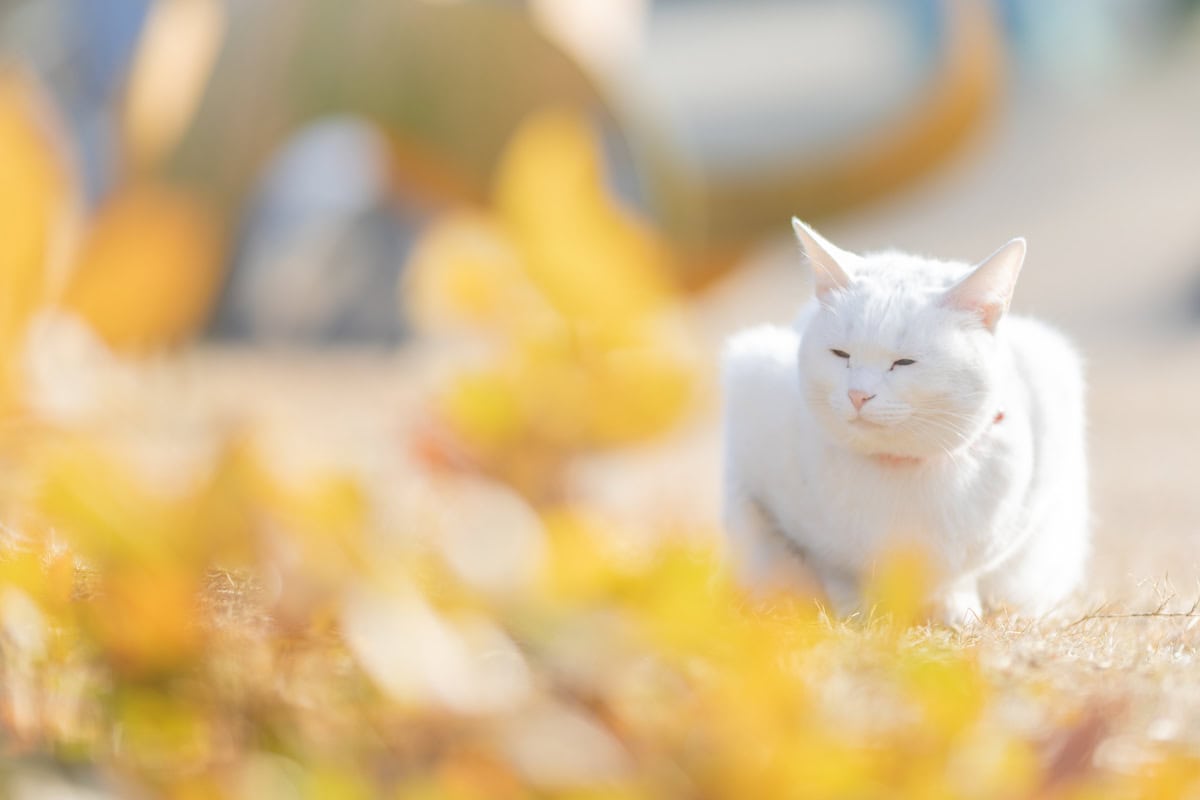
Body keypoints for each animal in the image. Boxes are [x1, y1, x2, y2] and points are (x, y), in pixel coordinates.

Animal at [720, 219, 1089, 623]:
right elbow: (834, 569)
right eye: (840, 354)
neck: (901, 469)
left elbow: (958, 579)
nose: (858, 394)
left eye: (904, 362)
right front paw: (853, 614)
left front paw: (956, 614)